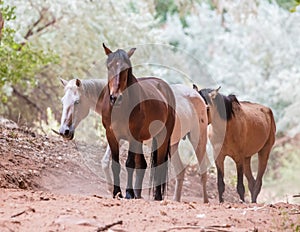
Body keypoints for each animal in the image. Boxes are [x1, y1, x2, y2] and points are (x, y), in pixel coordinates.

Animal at [58, 78, 209, 201]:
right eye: (62, 101)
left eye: (77, 102)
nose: (64, 131)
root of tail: (196, 95)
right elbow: (113, 162)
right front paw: (118, 190)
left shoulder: (129, 139)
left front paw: (130, 193)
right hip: (172, 145)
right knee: (180, 171)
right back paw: (175, 200)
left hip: (197, 139)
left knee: (203, 170)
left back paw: (205, 201)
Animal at [102, 44, 176, 200]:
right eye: (109, 66)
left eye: (126, 69)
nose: (115, 97)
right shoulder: (112, 135)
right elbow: (116, 165)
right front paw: (117, 192)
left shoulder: (132, 136)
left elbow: (129, 163)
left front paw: (129, 193)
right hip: (141, 140)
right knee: (143, 164)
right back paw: (138, 194)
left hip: (162, 137)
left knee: (159, 163)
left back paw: (157, 196)